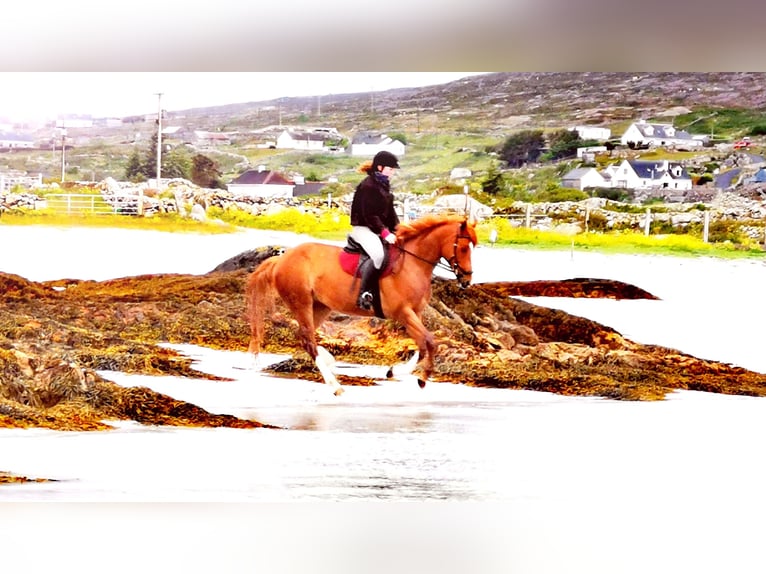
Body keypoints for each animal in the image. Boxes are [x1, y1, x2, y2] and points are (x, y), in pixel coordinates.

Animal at [246, 214, 476, 398]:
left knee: (303, 336)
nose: (466, 280)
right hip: (301, 302)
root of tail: (281, 259)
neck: (413, 265)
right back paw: (335, 385)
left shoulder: (415, 314)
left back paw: (329, 361)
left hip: (319, 306)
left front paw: (395, 371)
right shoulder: (404, 313)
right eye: (464, 248)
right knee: (309, 340)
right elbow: (430, 342)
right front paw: (422, 378)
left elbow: (422, 345)